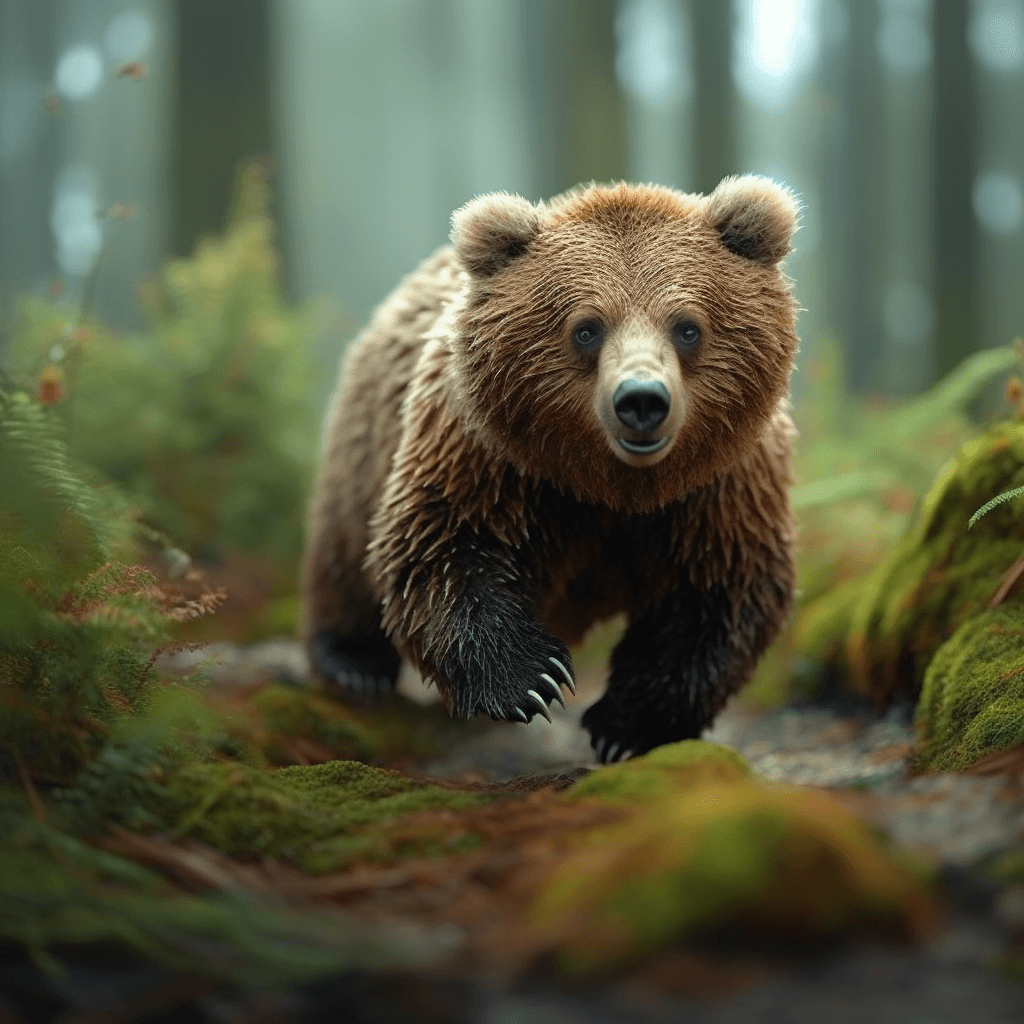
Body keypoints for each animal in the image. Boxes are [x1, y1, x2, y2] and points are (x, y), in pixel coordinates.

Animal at [301, 175, 800, 762]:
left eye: (686, 327)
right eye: (586, 328)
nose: (642, 400)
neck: (612, 486)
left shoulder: (717, 488)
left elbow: (720, 594)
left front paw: (626, 728)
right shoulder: (491, 460)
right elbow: (441, 547)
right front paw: (532, 679)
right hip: (365, 440)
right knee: (344, 550)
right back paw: (352, 663)